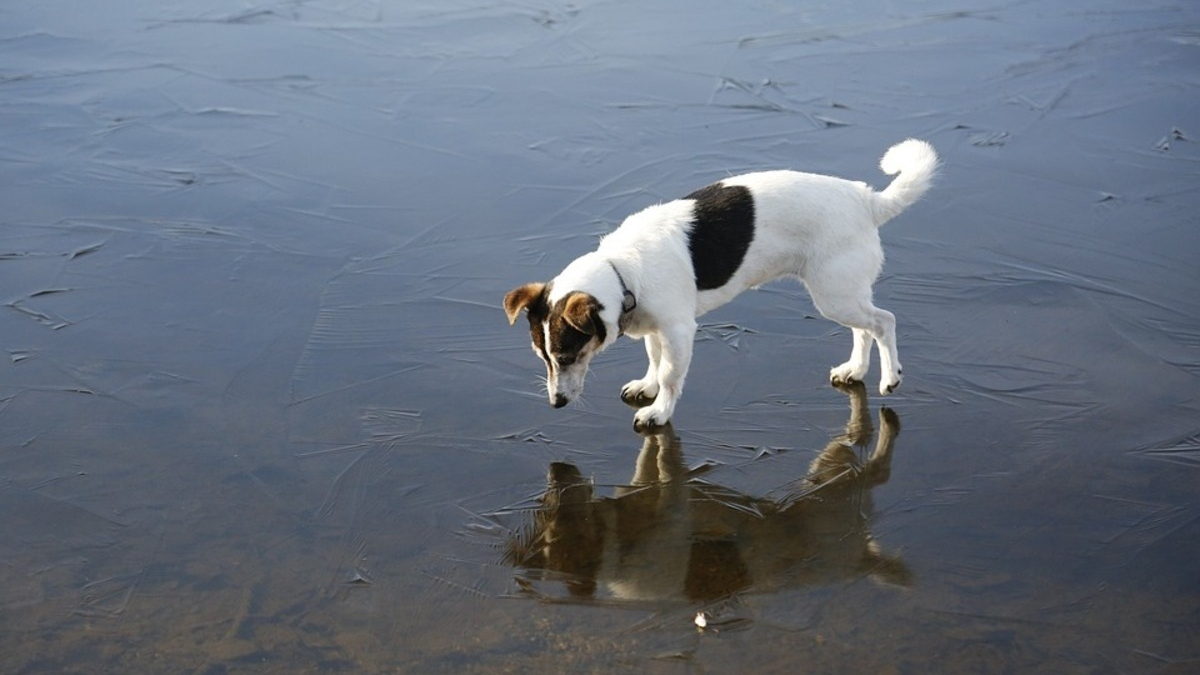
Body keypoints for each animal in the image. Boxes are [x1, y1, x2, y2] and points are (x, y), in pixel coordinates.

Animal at [504, 139, 936, 427]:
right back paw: (855, 371)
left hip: (834, 294)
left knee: (884, 322)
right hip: (843, 293)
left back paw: (889, 378)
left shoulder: (679, 330)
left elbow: (669, 374)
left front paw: (659, 411)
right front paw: (646, 387)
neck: (622, 269)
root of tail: (867, 199)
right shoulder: (655, 328)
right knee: (864, 330)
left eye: (566, 357)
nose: (556, 404)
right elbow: (654, 360)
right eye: (544, 359)